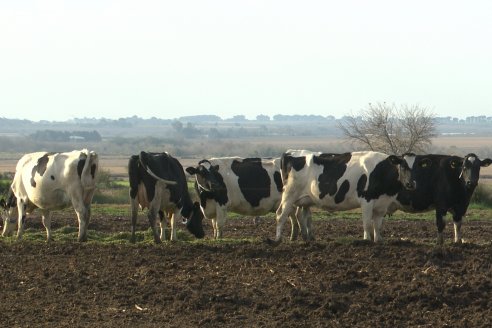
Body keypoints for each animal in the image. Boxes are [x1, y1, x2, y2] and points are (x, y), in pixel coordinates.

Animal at [270, 151, 418, 243]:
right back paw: (278, 239)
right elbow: (367, 223)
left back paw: (306, 238)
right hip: (289, 195)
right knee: (281, 215)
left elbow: (377, 224)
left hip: (303, 199)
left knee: (300, 216)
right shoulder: (366, 200)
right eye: (403, 166)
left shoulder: (382, 204)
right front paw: (366, 240)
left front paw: (378, 240)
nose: (411, 184)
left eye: (416, 167)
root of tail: (290, 154)